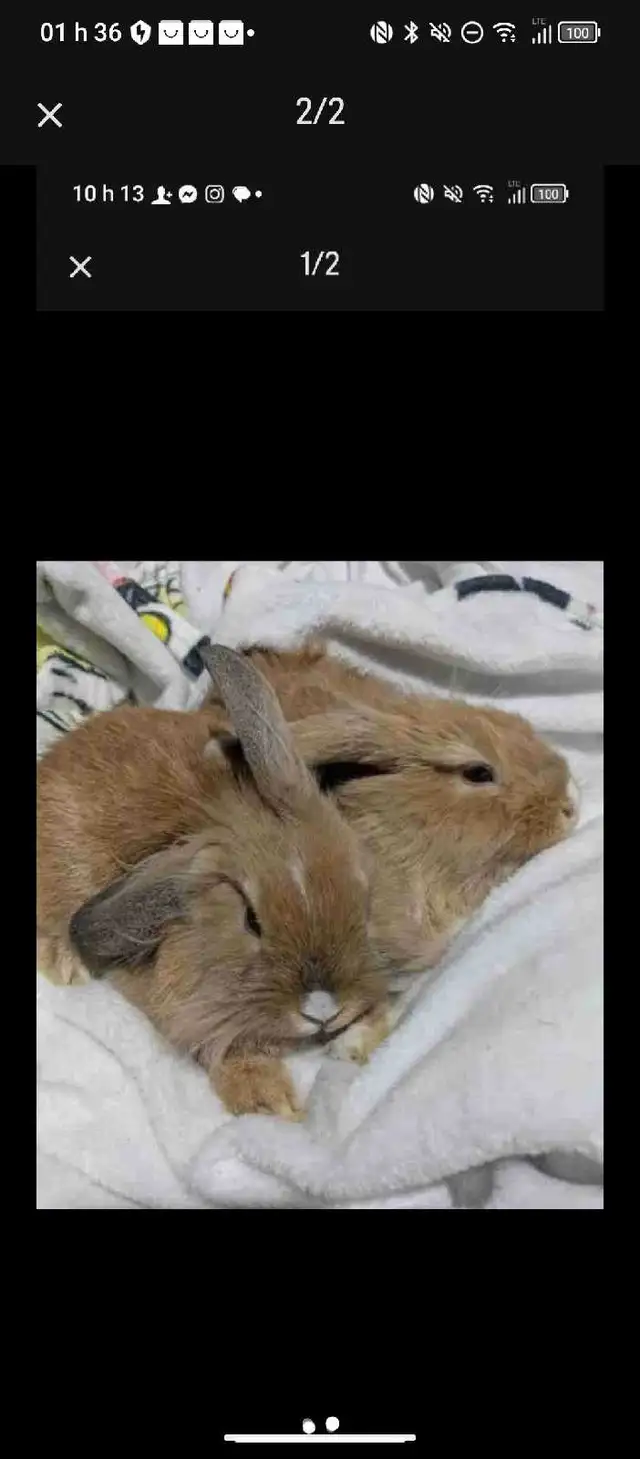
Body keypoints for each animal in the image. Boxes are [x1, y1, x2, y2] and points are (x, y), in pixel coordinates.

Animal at [37, 646, 388, 1119]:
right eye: (251, 921)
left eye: (360, 890)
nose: (324, 1007)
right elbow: (228, 1047)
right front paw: (273, 1104)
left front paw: (363, 1036)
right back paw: (63, 961)